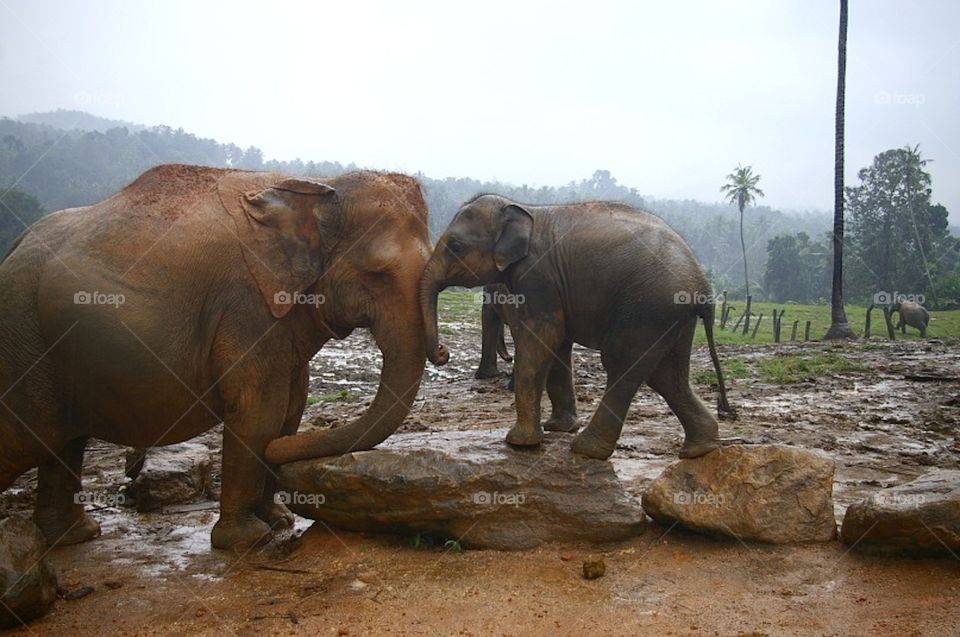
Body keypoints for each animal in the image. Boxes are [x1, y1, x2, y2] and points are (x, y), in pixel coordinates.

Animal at [0, 163, 428, 548]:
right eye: (378, 274)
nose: (279, 458)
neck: (319, 184)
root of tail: (15, 245)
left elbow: (291, 406)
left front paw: (279, 521)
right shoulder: (246, 303)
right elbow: (260, 409)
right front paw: (248, 539)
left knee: (63, 444)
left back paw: (76, 537)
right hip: (25, 339)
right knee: (28, 440)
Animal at [420, 191, 736, 460]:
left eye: (456, 247)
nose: (443, 351)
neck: (523, 208)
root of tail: (702, 287)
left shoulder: (538, 277)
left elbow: (542, 338)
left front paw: (519, 443)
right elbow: (557, 344)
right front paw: (559, 428)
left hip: (649, 306)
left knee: (621, 363)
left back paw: (586, 449)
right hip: (672, 316)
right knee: (667, 375)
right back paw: (699, 449)